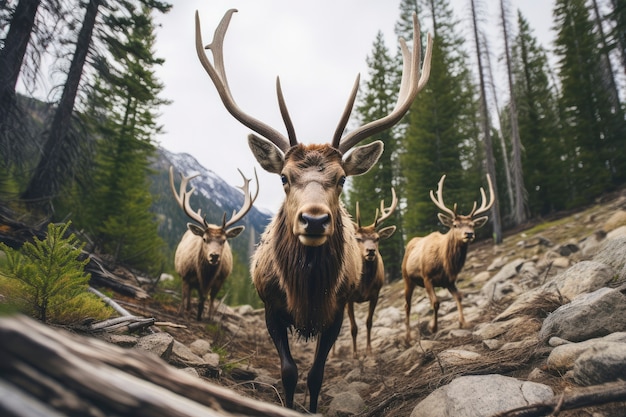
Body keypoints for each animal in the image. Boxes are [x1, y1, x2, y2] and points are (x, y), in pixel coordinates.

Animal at [167, 164, 258, 320]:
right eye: (204, 239)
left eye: (224, 240)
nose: (214, 256)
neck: (205, 276)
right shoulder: (185, 275)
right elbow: (185, 295)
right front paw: (183, 313)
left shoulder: (219, 281)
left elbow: (211, 299)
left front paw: (207, 317)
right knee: (189, 295)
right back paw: (187, 308)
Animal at [344, 188, 398, 358]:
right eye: (357, 238)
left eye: (378, 238)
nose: (371, 251)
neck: (364, 285)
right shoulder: (348, 298)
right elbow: (353, 327)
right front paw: (355, 354)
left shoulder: (375, 294)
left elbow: (369, 322)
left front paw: (369, 351)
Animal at [400, 174, 492, 340]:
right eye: (455, 225)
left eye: (472, 225)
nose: (469, 234)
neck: (446, 263)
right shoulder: (427, 277)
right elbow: (436, 302)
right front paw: (433, 327)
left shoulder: (449, 281)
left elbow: (460, 296)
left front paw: (463, 323)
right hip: (407, 277)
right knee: (407, 305)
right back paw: (408, 337)